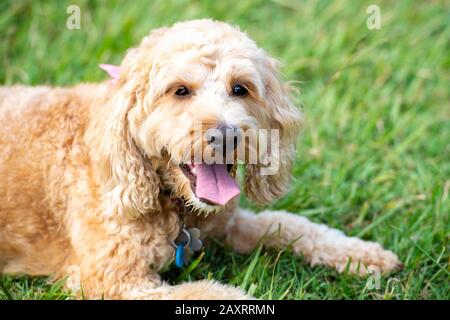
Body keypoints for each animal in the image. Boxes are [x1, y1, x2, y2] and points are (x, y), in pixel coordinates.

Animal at [0, 20, 400, 300]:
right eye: (180, 91)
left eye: (240, 88)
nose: (226, 135)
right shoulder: (113, 280)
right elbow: (210, 290)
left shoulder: (226, 223)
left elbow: (286, 224)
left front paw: (360, 254)